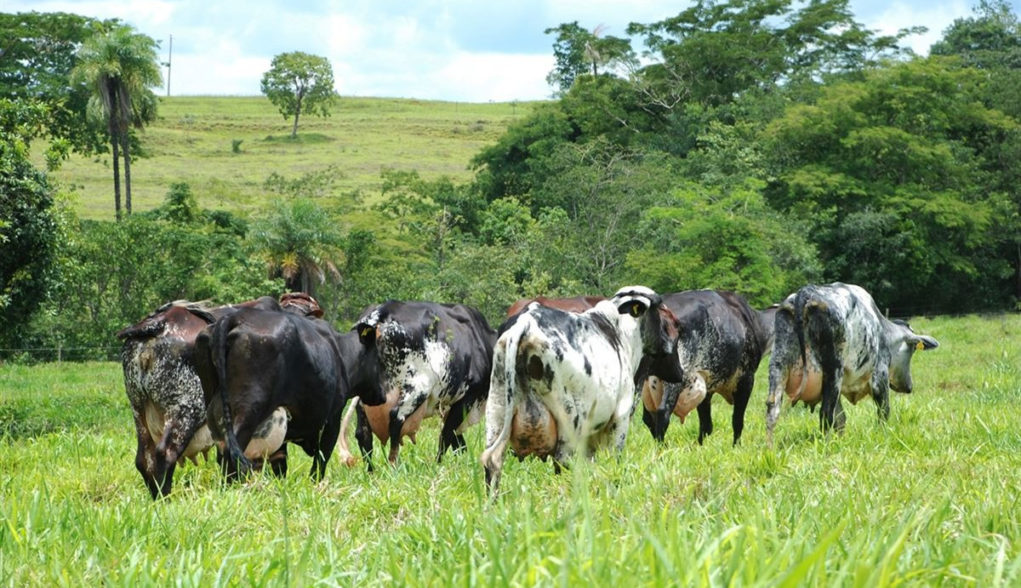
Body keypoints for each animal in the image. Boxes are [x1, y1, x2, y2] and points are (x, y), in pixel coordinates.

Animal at [347, 300, 498, 465]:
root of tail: (381, 313)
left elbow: (457, 440)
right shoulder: (467, 397)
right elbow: (447, 434)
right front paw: (438, 464)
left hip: (367, 396)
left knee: (362, 433)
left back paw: (371, 469)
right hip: (416, 389)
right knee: (396, 418)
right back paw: (393, 464)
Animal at [479, 287, 686, 494]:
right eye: (668, 319)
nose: (681, 373)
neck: (619, 331)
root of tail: (526, 325)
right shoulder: (620, 417)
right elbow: (614, 460)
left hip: (496, 413)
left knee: (493, 463)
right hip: (569, 421)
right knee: (562, 463)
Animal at [637, 289, 767, 445]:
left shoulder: (706, 385)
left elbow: (706, 425)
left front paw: (699, 446)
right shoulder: (746, 378)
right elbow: (737, 421)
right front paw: (736, 446)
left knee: (648, 418)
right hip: (675, 378)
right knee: (663, 413)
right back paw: (662, 448)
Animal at [767, 279, 939, 441]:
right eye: (912, 349)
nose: (909, 387)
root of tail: (805, 292)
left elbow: (841, 418)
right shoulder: (880, 375)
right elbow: (883, 411)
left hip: (779, 364)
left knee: (772, 409)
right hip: (833, 370)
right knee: (826, 413)